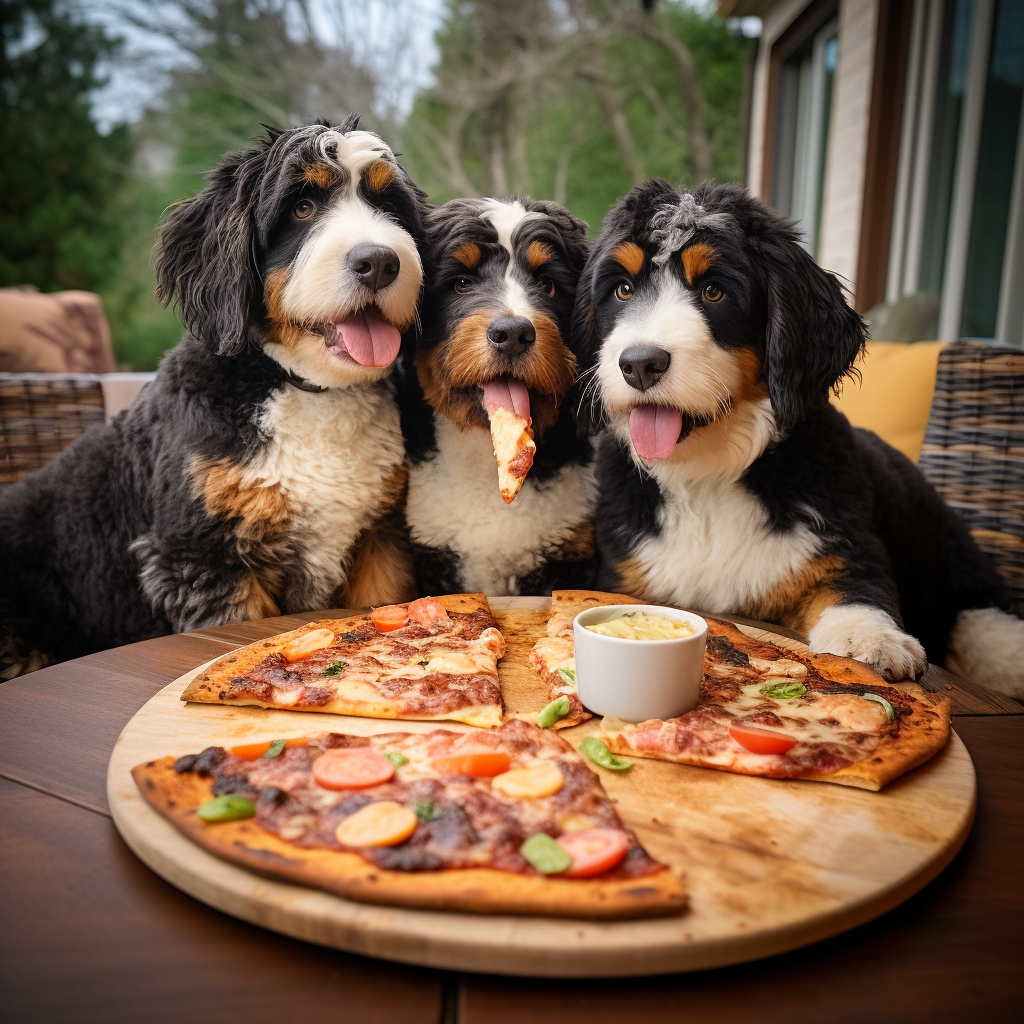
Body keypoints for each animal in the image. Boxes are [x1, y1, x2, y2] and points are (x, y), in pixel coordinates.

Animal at [0, 117, 423, 671]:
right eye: (302, 207)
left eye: (389, 205)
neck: (308, 390)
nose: (378, 261)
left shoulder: (380, 543)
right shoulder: (205, 560)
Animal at [573, 182, 1024, 696]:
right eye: (623, 289)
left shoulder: (841, 547)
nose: (640, 363)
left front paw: (871, 641)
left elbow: (856, 592)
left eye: (713, 290)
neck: (707, 478)